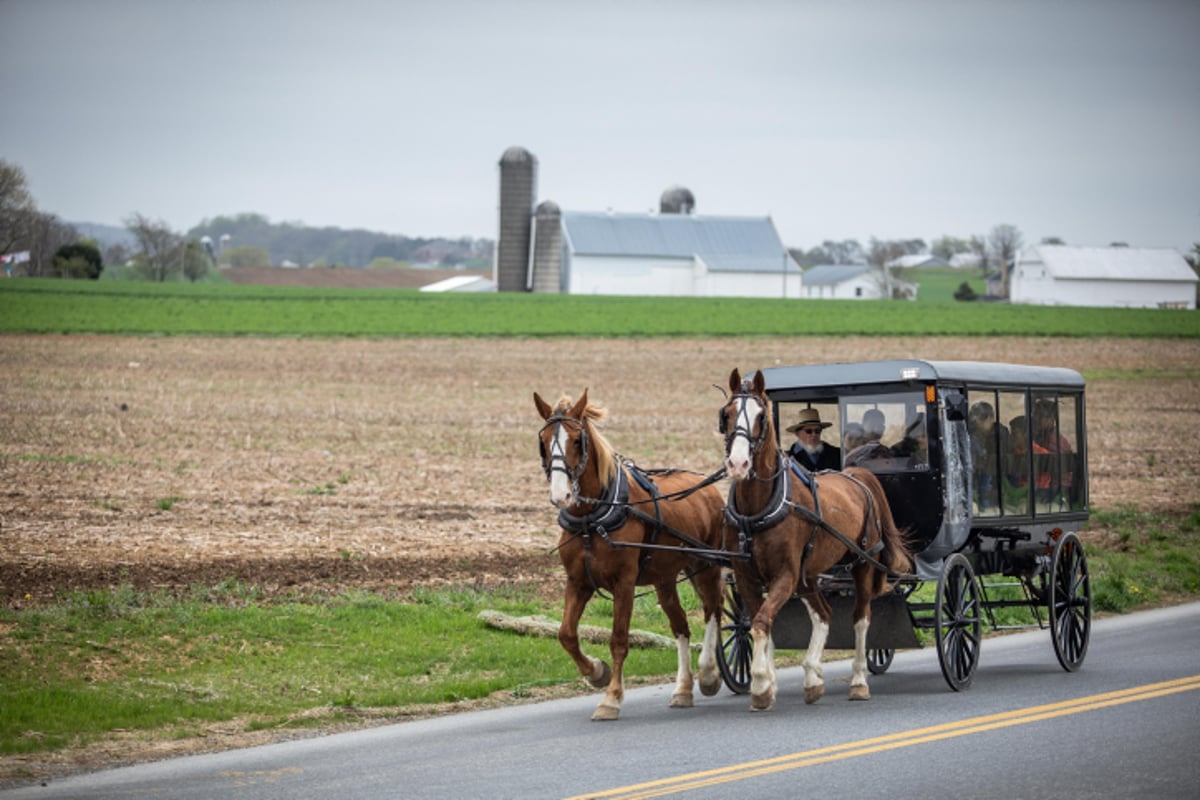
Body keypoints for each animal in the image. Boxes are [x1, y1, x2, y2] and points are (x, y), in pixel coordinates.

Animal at [532, 391, 720, 724]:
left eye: (577, 440)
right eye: (543, 441)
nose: (560, 496)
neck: (590, 519)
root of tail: (708, 488)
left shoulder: (624, 584)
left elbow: (619, 640)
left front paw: (611, 699)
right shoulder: (578, 581)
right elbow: (566, 634)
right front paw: (596, 673)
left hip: (707, 565)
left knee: (714, 610)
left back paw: (709, 673)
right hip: (665, 579)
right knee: (680, 625)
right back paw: (683, 689)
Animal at [720, 369, 907, 714]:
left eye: (761, 416)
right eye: (726, 414)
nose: (738, 465)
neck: (758, 509)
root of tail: (856, 475)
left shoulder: (785, 574)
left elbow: (763, 620)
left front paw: (761, 683)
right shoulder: (746, 576)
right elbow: (759, 622)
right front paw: (767, 684)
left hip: (860, 564)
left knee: (860, 618)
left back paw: (858, 681)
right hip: (808, 575)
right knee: (825, 614)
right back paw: (812, 678)